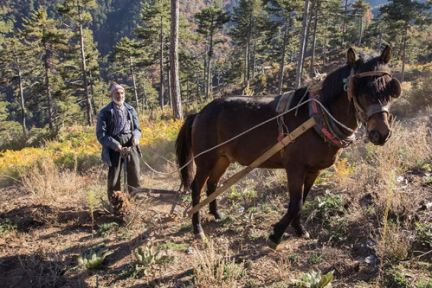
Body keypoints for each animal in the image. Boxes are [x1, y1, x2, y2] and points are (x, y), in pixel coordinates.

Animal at [175, 46, 402, 249]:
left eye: (390, 91)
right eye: (360, 91)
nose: (381, 134)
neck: (316, 117)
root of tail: (200, 113)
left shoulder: (313, 170)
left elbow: (303, 199)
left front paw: (299, 229)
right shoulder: (294, 168)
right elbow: (295, 203)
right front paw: (276, 234)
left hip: (223, 158)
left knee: (213, 184)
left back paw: (216, 214)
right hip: (206, 159)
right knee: (196, 187)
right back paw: (197, 229)